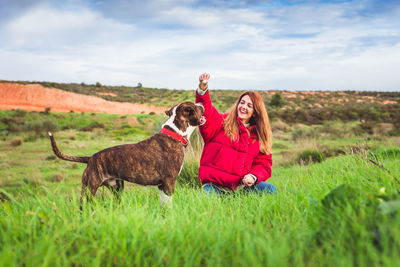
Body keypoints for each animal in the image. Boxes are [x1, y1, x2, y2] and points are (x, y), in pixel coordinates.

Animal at [48, 102, 205, 209]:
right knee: (82, 206)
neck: (175, 134)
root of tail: (90, 158)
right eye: (194, 107)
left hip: (116, 188)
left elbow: (163, 204)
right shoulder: (169, 183)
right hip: (89, 189)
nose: (201, 103)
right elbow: (169, 205)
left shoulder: (162, 186)